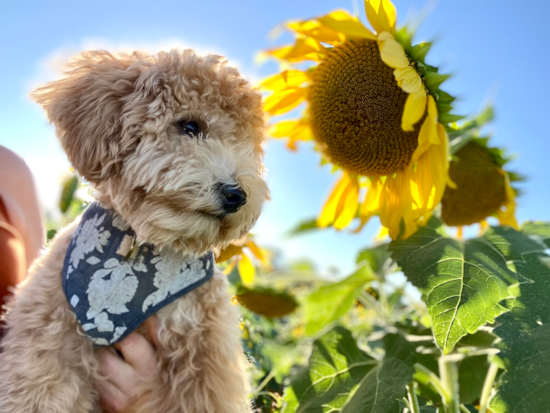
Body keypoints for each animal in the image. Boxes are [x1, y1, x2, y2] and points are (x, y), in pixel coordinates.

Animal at [0, 49, 270, 412]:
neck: (138, 250)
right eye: (189, 126)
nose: (237, 195)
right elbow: (35, 391)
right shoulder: (46, 339)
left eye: (248, 147)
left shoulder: (207, 357)